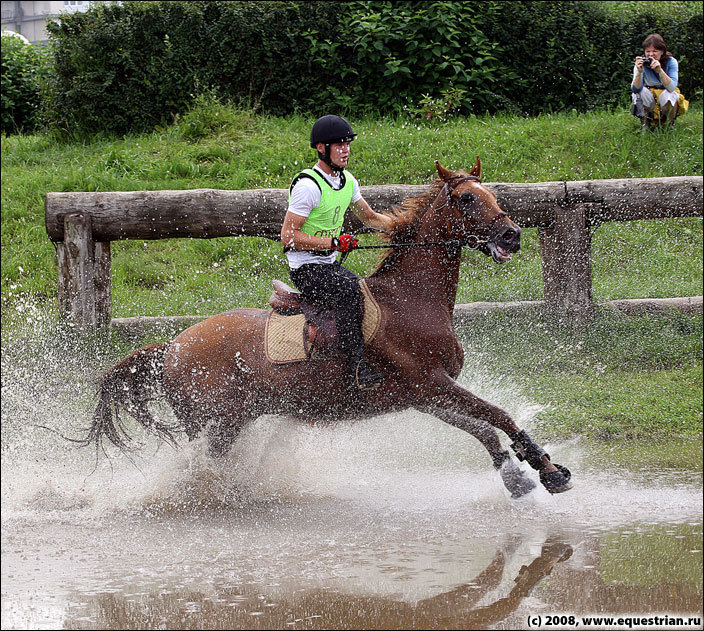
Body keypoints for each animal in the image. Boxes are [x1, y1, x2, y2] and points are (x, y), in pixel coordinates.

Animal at [85, 158, 576, 498]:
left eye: (490, 193)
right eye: (467, 199)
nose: (512, 235)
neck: (412, 299)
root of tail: (172, 346)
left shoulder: (424, 394)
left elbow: (483, 428)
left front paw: (522, 473)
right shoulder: (430, 382)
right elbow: (498, 415)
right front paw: (547, 470)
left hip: (231, 421)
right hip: (214, 425)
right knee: (201, 469)